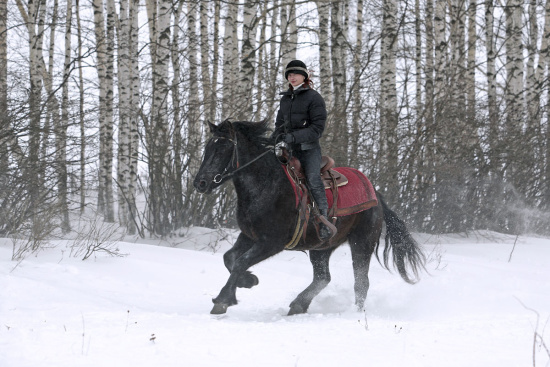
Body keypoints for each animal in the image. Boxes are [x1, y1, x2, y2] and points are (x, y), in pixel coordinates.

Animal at [194, 121, 426, 316]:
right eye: (207, 148)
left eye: (222, 149)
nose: (200, 183)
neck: (266, 185)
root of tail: (375, 195)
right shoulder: (250, 236)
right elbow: (230, 258)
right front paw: (248, 281)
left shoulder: (271, 242)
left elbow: (241, 261)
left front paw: (223, 300)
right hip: (321, 248)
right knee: (323, 277)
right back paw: (298, 305)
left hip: (362, 243)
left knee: (361, 283)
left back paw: (354, 314)